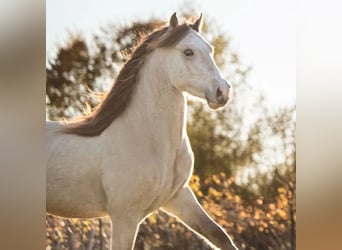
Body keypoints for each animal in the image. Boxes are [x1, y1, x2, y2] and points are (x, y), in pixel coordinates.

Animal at [46, 13, 238, 250]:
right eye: (188, 52)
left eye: (210, 49)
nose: (223, 92)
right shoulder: (125, 215)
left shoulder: (179, 197)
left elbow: (219, 235)